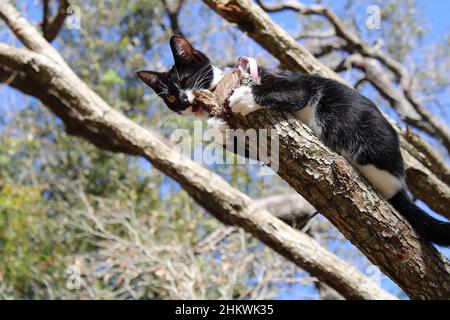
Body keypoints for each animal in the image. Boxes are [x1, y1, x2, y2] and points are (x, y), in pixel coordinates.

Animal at [137, 35, 450, 245]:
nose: (185, 101)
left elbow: (290, 92)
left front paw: (244, 98)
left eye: (186, 79)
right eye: (171, 98)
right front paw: (219, 128)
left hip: (365, 134)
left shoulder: (291, 84)